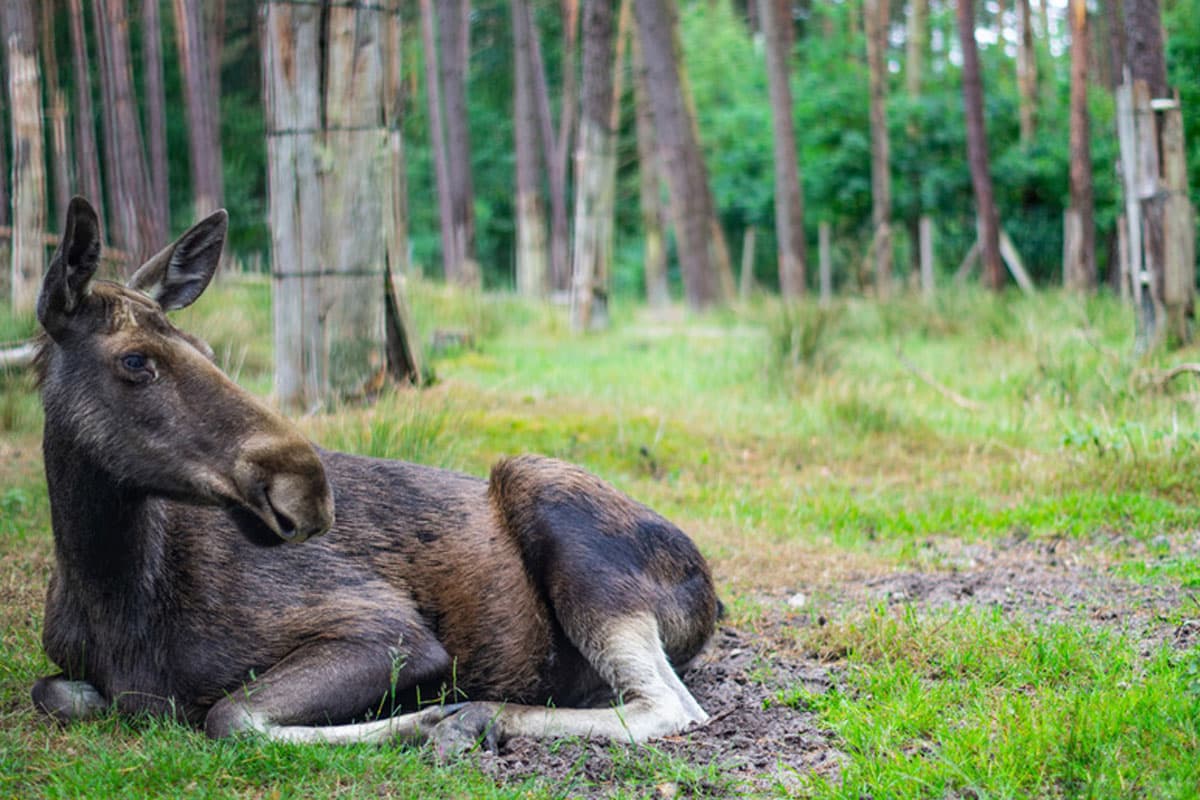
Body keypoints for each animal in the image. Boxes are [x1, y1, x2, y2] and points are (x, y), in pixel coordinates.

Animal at [30, 199, 720, 753]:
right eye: (134, 361)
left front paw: (430, 718)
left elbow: (229, 715)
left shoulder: (390, 631)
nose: (309, 490)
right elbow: (55, 692)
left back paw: (475, 717)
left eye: (205, 350)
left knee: (671, 706)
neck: (113, 593)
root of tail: (711, 589)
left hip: (552, 504)